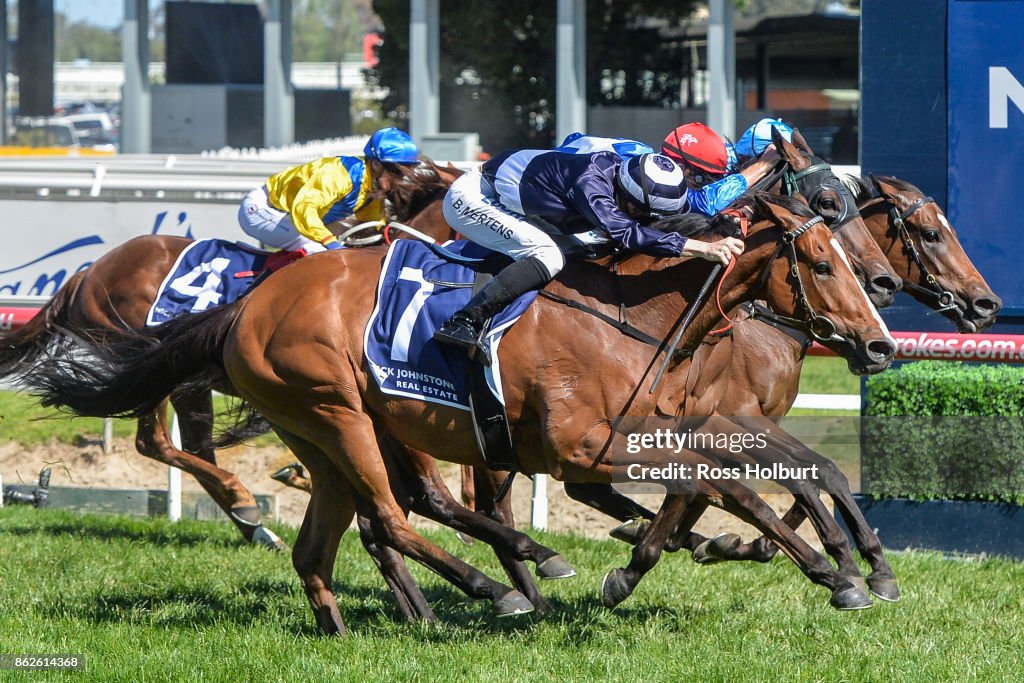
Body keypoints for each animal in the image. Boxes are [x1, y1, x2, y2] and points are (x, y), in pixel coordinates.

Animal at [18, 191, 897, 630]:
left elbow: (754, 475)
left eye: (854, 252)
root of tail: (244, 308)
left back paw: (367, 619)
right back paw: (498, 581)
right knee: (394, 513)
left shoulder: (674, 422)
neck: (633, 312)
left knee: (326, 543)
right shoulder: (584, 450)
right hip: (342, 412)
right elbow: (723, 484)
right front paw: (829, 567)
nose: (881, 339)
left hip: (325, 427)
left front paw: (838, 564)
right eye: (822, 262)